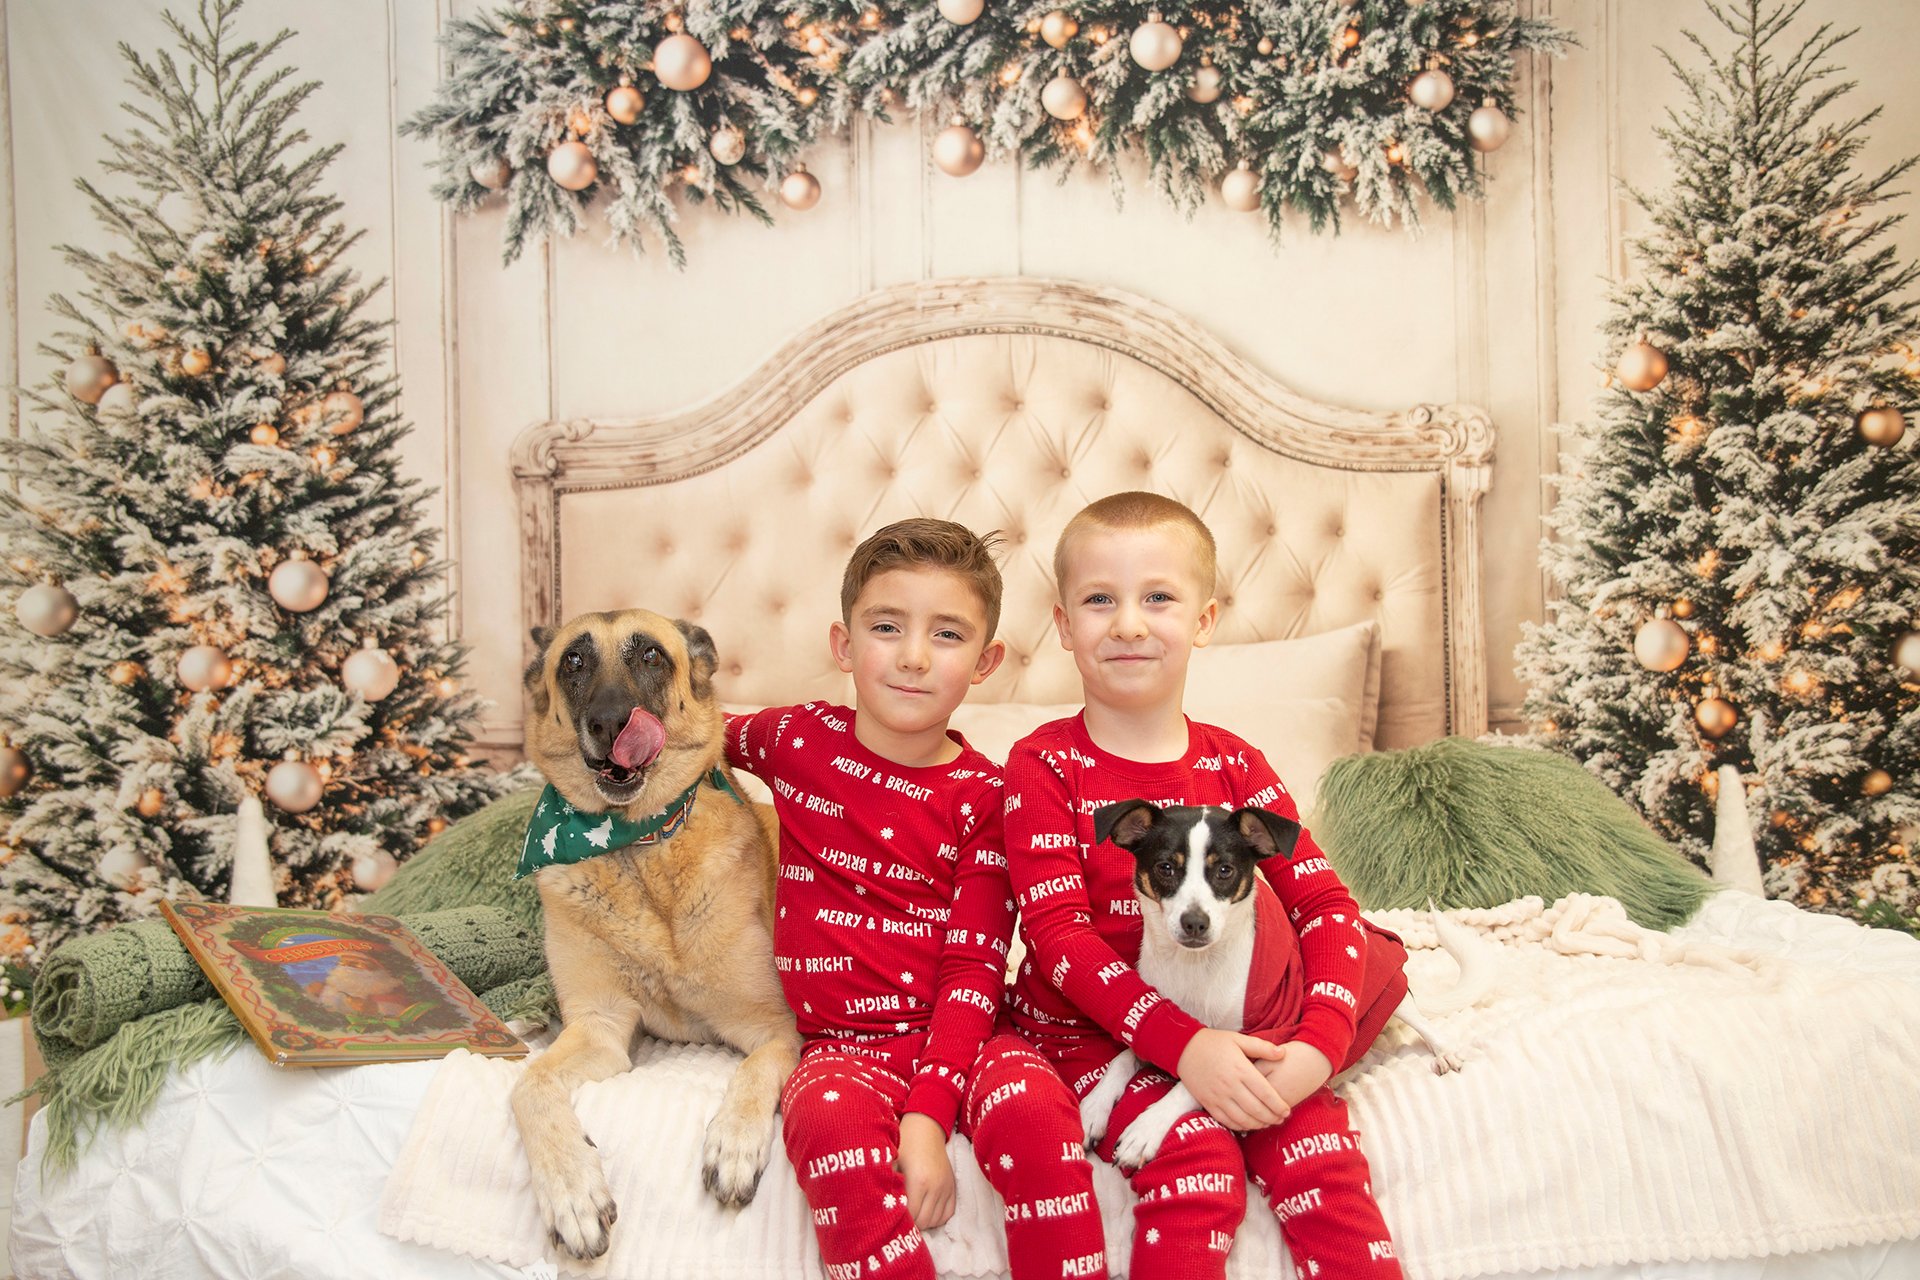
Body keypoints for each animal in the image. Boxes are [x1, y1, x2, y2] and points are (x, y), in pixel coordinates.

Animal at [513, 609, 801, 1259]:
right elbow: (529, 1084)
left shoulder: (778, 1028)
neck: (638, 848)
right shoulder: (599, 1028)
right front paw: (572, 1189)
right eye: (574, 660)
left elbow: (754, 1071)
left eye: (650, 656)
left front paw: (734, 1141)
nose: (610, 722)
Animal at [1077, 800, 1494, 1170]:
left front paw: (1146, 1127)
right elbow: (1122, 1060)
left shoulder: (1260, 1042)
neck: (1196, 968)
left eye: (1225, 870)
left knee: (1420, 1017)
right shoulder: (1163, 1025)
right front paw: (1094, 1107)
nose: (1195, 922)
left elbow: (1195, 1084)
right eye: (1166, 867)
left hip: (1388, 983)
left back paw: (1443, 1050)